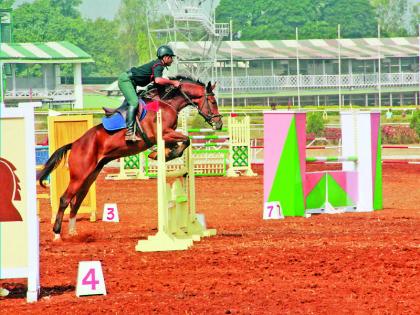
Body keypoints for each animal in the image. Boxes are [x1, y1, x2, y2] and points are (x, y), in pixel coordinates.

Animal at [37, 78, 223, 241]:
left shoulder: (166, 136)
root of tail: (75, 144)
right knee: (65, 199)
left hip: (90, 176)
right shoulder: (163, 133)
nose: (219, 124)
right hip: (79, 175)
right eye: (213, 101)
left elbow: (182, 142)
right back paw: (57, 233)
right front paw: (161, 154)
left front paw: (162, 154)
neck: (166, 103)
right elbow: (186, 139)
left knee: (76, 201)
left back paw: (73, 232)